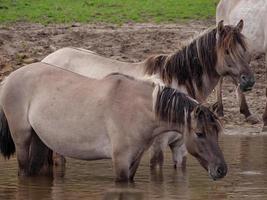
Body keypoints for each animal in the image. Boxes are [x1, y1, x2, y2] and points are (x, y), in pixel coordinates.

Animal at [0, 63, 228, 182]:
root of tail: (10, 77)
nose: (221, 170)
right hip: (22, 139)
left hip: (39, 141)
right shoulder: (120, 161)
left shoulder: (134, 160)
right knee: (23, 171)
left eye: (216, 132)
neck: (136, 109)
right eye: (199, 133)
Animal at [41, 19, 253, 170]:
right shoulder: (157, 147)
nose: (249, 80)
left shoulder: (180, 146)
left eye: (245, 49)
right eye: (227, 51)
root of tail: (47, 59)